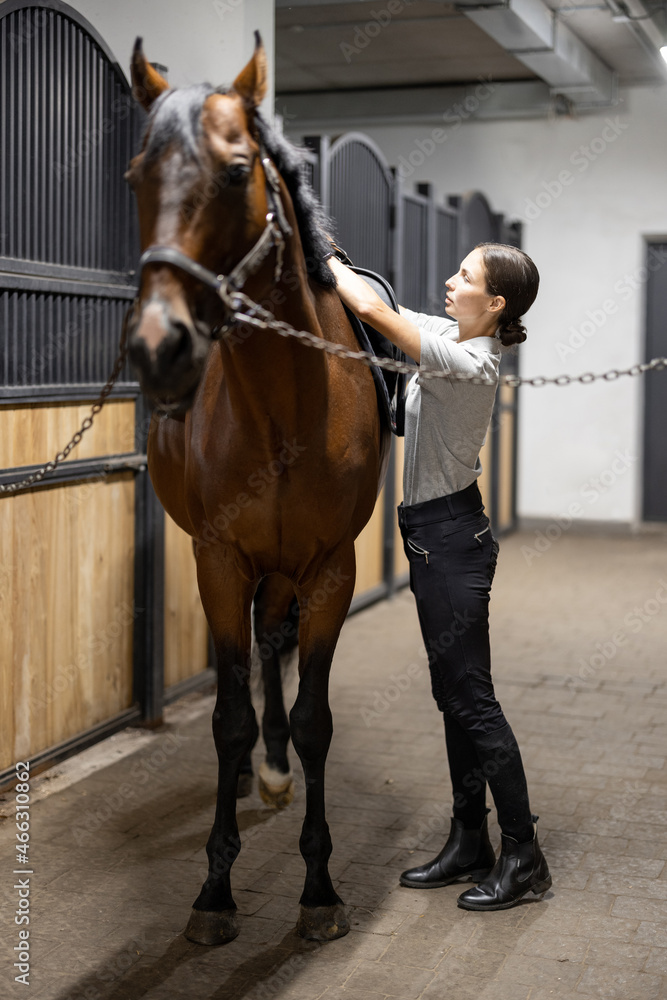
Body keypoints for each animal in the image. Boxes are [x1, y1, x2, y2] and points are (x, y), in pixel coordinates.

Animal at [126, 37, 392, 944]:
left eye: (238, 170)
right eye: (137, 175)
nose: (158, 347)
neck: (284, 406)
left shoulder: (332, 569)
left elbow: (312, 717)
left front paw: (318, 888)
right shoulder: (219, 560)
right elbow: (227, 716)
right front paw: (214, 891)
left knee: (273, 652)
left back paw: (273, 775)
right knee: (244, 669)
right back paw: (253, 776)